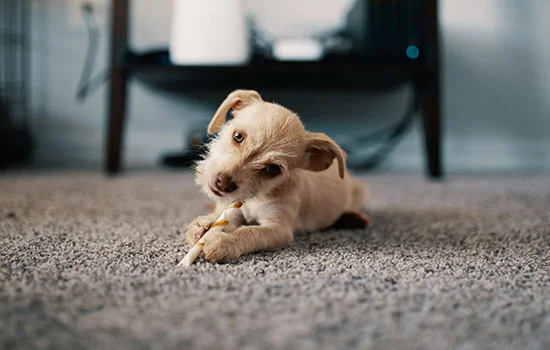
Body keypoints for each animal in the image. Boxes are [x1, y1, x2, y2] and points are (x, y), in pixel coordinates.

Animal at [187, 90, 370, 262]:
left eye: (273, 169)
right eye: (238, 136)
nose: (223, 184)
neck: (257, 197)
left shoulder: (279, 229)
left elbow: (251, 232)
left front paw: (224, 242)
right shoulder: (232, 211)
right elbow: (220, 218)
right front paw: (202, 225)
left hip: (360, 192)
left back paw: (354, 219)